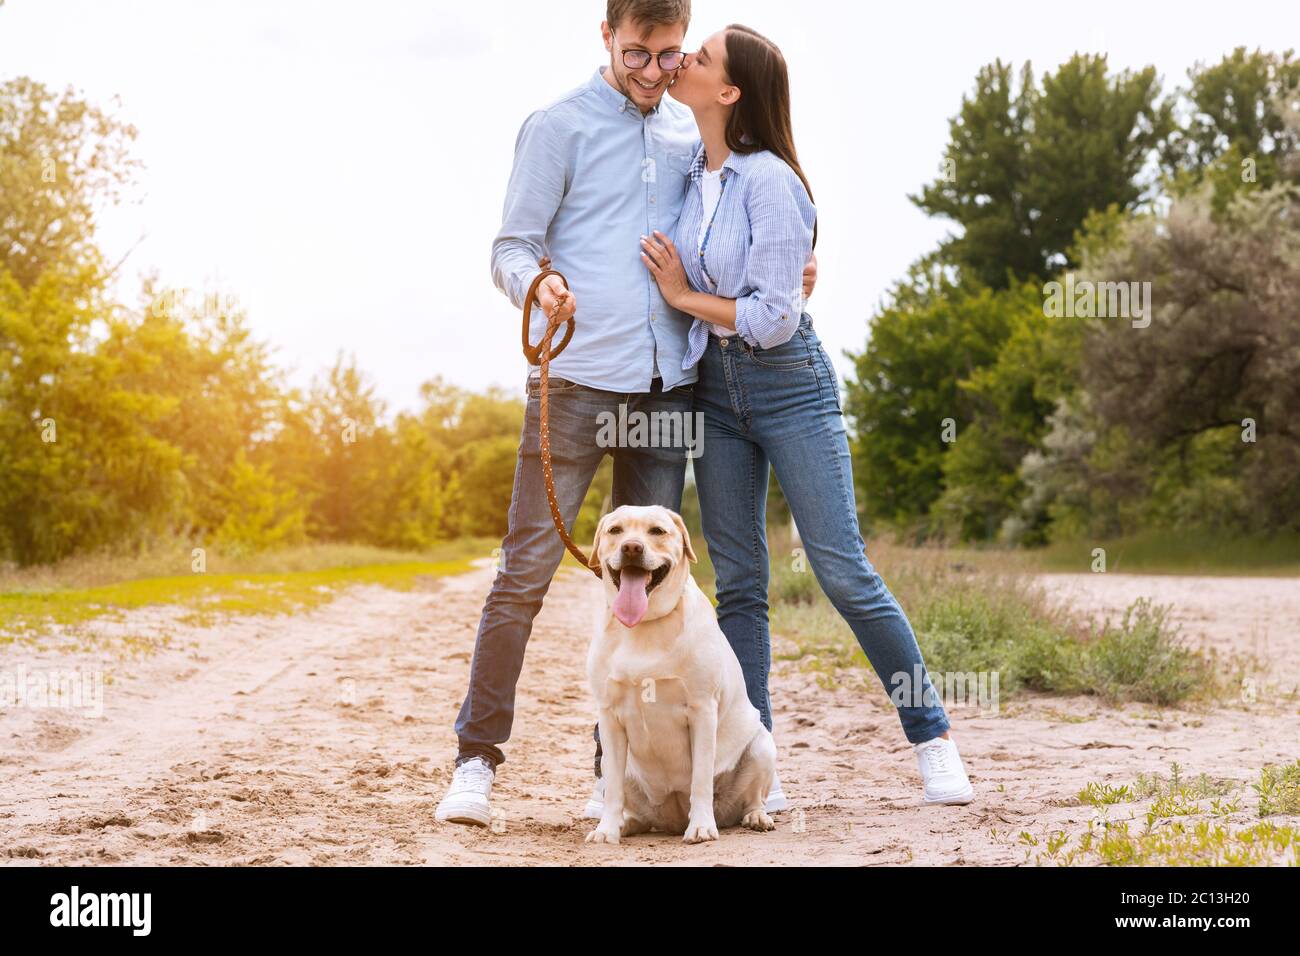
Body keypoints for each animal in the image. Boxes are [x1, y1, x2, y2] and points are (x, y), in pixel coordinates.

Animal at [585, 504, 774, 842]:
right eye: (615, 530)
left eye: (657, 531)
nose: (631, 548)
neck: (644, 623)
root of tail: (671, 821)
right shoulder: (609, 717)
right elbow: (614, 793)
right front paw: (606, 830)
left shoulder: (702, 710)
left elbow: (700, 778)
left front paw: (701, 826)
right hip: (614, 765)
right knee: (629, 802)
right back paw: (625, 824)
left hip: (762, 746)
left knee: (753, 797)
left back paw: (755, 817)